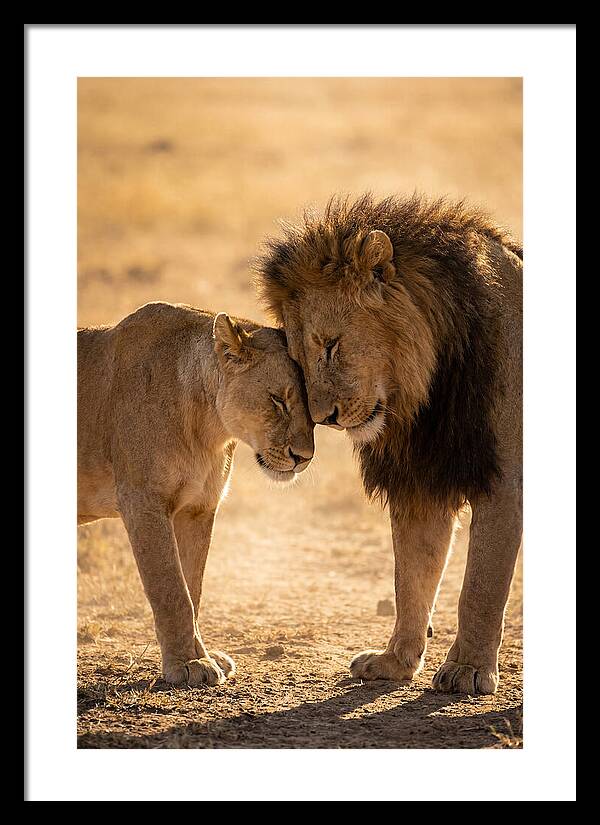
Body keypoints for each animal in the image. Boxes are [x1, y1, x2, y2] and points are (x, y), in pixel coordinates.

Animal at [78, 301, 314, 686]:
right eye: (278, 400)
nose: (304, 457)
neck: (208, 428)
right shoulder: (142, 501)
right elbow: (172, 589)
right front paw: (187, 664)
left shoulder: (198, 508)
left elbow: (193, 588)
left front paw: (203, 655)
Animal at [256, 193, 522, 695]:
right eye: (298, 359)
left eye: (331, 345)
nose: (324, 418)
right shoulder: (420, 483)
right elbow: (411, 577)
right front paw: (396, 661)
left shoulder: (504, 481)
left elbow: (480, 586)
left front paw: (468, 669)